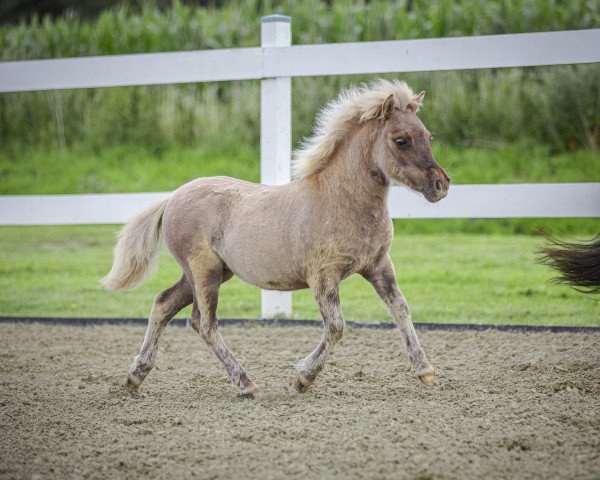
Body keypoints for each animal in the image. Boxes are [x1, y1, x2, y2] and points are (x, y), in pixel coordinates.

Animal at [103, 80, 450, 398]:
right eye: (401, 140)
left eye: (428, 136)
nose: (441, 185)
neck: (340, 201)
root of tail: (172, 197)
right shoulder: (323, 277)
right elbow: (336, 326)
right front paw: (302, 378)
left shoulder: (379, 266)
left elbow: (401, 309)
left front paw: (425, 370)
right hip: (204, 273)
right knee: (205, 324)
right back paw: (246, 384)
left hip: (209, 273)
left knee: (164, 304)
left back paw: (135, 375)